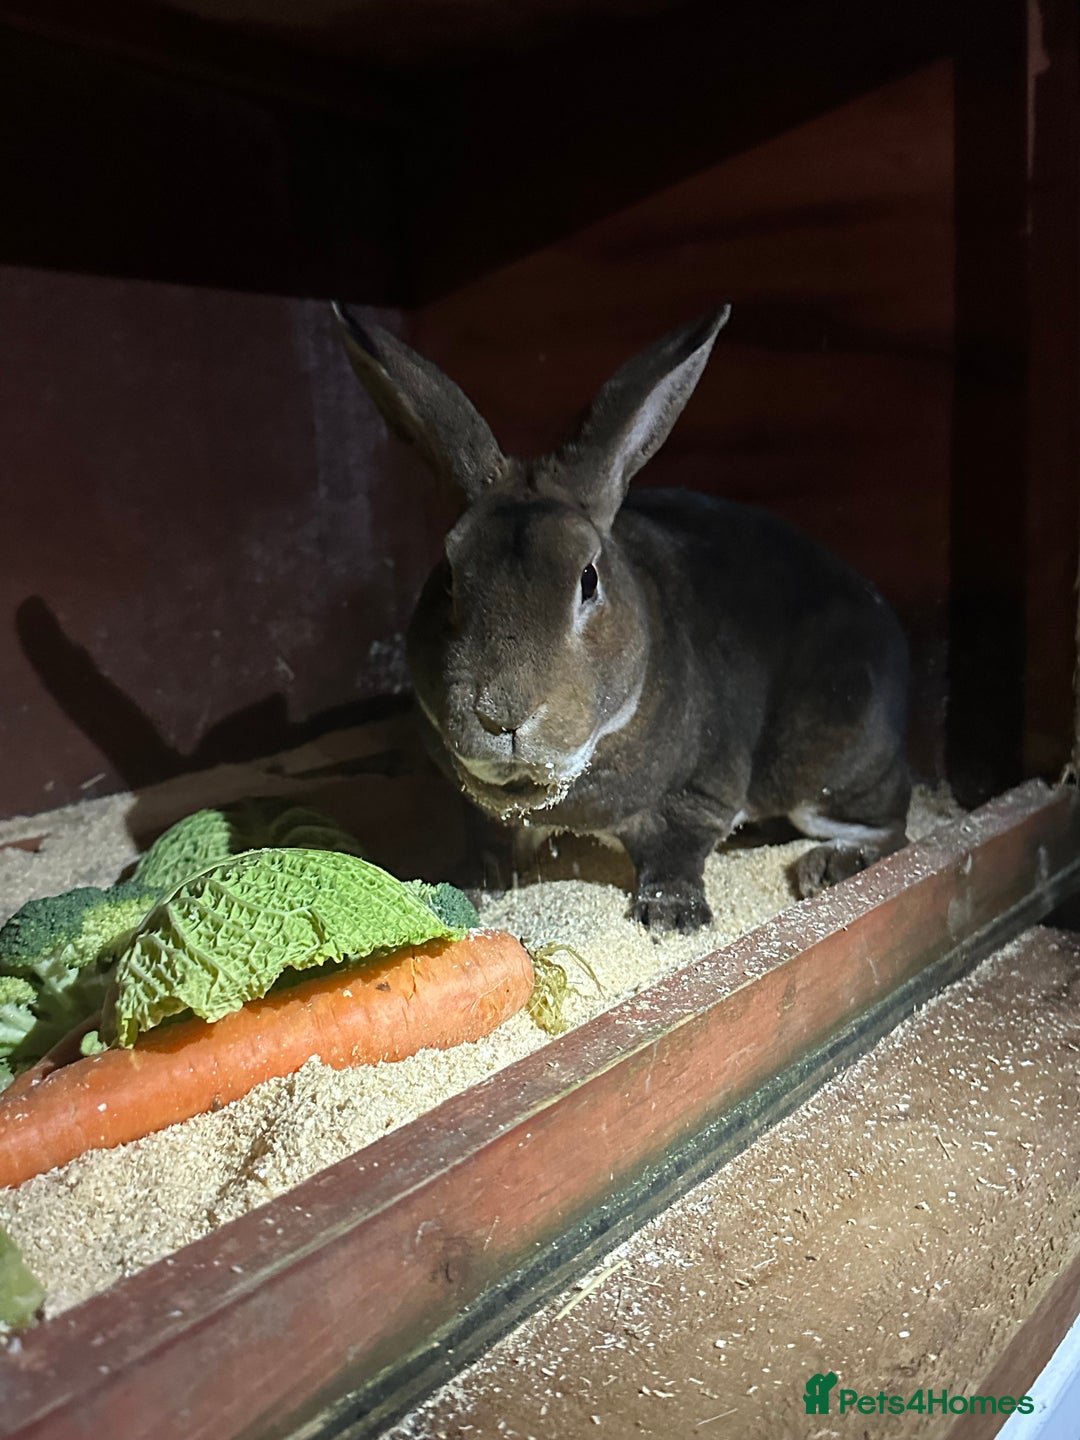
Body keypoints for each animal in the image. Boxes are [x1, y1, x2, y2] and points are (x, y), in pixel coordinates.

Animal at [333, 302, 911, 932]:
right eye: (450, 578)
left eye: (588, 579)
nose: (502, 717)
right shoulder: (481, 813)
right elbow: (489, 849)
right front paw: (467, 889)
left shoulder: (700, 794)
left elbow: (677, 850)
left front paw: (672, 916)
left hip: (829, 765)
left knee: (891, 828)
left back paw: (828, 867)